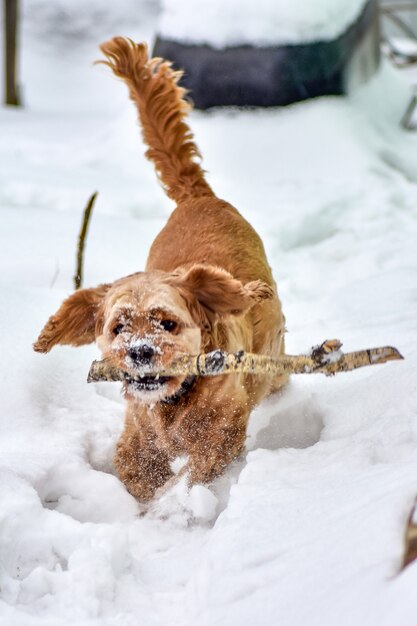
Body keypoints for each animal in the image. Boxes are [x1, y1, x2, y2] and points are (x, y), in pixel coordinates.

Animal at [34, 36, 286, 500]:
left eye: (167, 323)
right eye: (118, 327)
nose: (140, 352)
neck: (173, 401)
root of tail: (198, 197)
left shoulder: (225, 426)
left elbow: (202, 465)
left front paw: (181, 505)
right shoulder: (137, 437)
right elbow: (138, 473)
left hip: (272, 352)